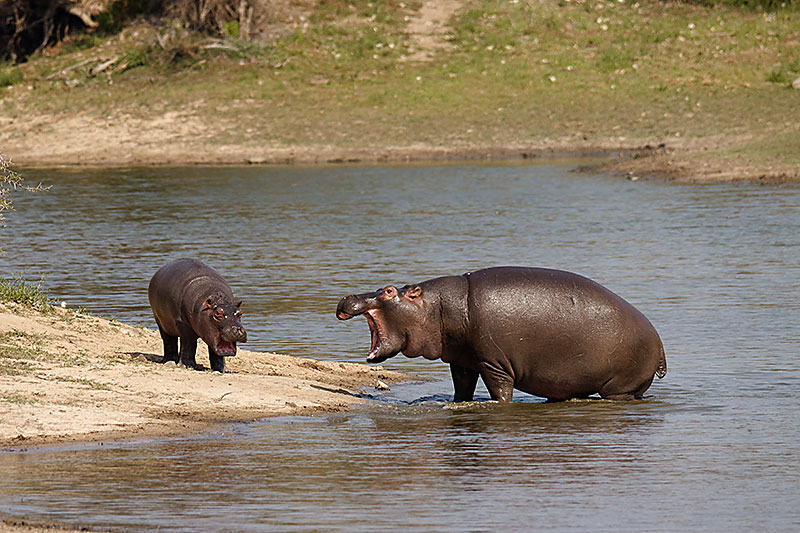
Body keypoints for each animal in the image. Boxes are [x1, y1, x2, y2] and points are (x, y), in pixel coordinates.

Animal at [336, 267, 666, 402]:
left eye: (389, 291)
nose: (347, 297)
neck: (437, 307)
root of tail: (660, 341)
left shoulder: (493, 364)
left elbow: (499, 391)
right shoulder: (462, 361)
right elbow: (462, 389)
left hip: (619, 387)